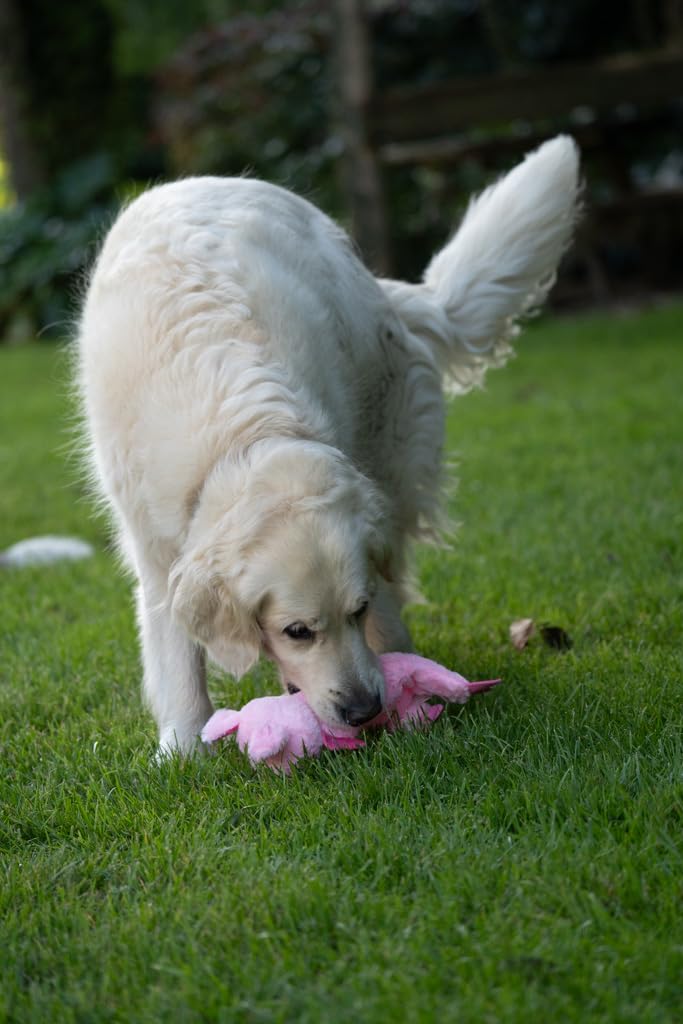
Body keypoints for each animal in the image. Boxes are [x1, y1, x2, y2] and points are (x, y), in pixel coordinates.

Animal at [78, 136, 581, 757]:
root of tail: (390, 295)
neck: (242, 436)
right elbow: (175, 657)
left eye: (354, 612)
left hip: (389, 458)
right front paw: (183, 748)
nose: (366, 709)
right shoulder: (153, 545)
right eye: (297, 631)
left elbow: (382, 606)